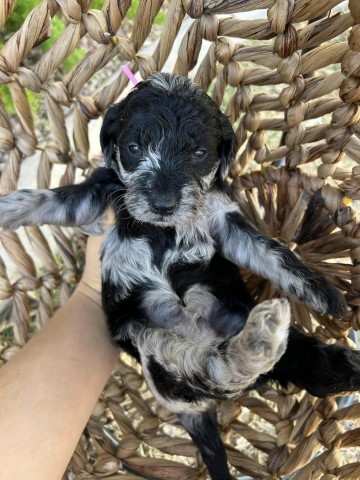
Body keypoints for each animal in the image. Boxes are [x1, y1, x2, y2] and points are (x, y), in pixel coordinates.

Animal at [0, 72, 360, 480]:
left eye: (199, 154)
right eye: (134, 147)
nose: (163, 204)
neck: (164, 228)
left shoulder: (224, 219)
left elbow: (272, 253)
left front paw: (324, 293)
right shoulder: (100, 192)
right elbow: (48, 199)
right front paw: (6, 209)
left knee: (276, 369)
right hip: (154, 352)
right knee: (214, 369)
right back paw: (263, 337)